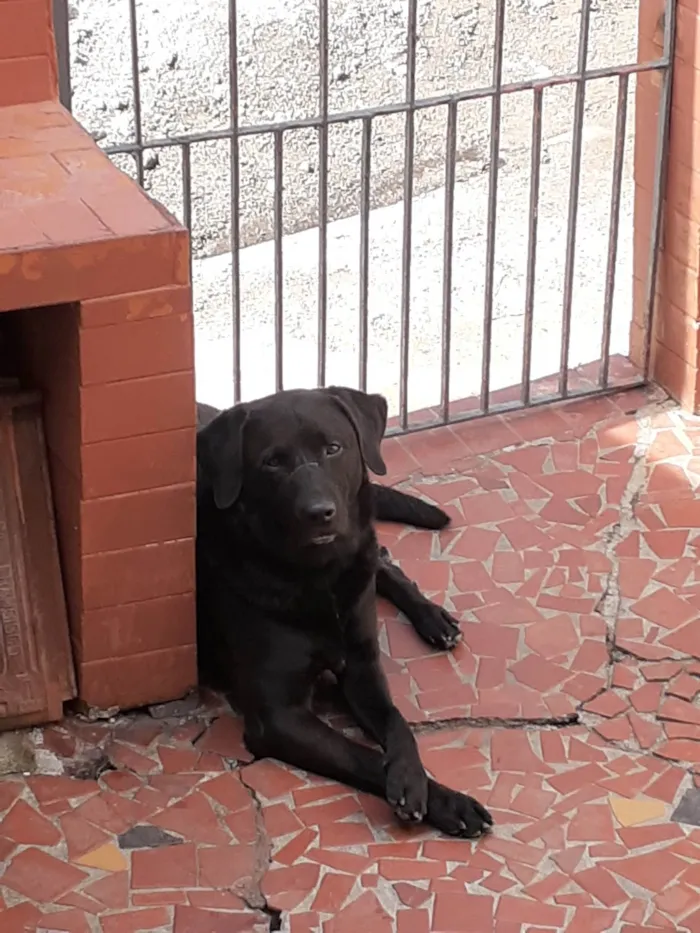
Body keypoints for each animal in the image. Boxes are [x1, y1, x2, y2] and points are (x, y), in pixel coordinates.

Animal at [197, 386, 492, 836]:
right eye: (271, 461)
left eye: (333, 448)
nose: (319, 513)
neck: (317, 580)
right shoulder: (279, 716)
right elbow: (362, 755)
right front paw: (441, 799)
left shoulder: (361, 666)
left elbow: (397, 721)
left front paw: (412, 777)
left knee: (381, 561)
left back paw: (432, 618)